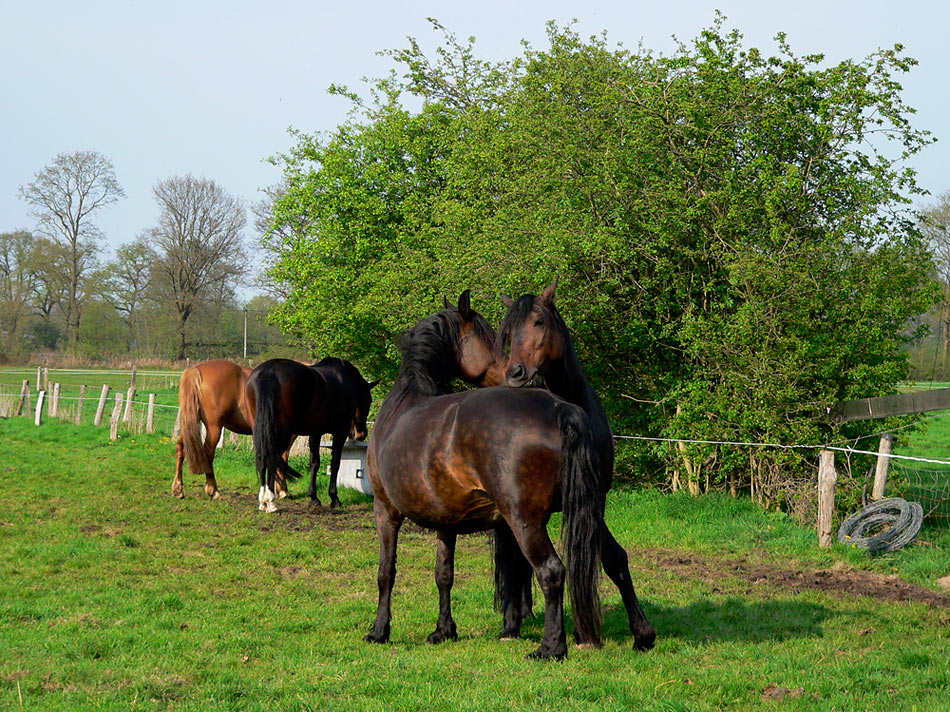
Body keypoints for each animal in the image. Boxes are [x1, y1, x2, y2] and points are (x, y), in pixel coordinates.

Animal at [245, 356, 376, 512]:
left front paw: (314, 498)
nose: (362, 434)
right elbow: (335, 464)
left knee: (262, 458)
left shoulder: (315, 432)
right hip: (281, 434)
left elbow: (314, 463)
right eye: (369, 401)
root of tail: (268, 371)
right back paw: (270, 502)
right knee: (271, 460)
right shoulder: (340, 432)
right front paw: (334, 499)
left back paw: (263, 502)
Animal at [360, 290, 608, 660]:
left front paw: (379, 631)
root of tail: (559, 407)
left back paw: (550, 647)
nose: (513, 372)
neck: (405, 400)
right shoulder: (446, 522)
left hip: (524, 520)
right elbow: (444, 574)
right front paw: (444, 630)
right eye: (493, 338)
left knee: (551, 572)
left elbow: (385, 572)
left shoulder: (385, 510)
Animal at [494, 278, 660, 652]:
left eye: (538, 322)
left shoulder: (594, 500)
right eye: (508, 333)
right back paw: (511, 623)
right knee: (514, 560)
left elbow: (613, 559)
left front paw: (639, 633)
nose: (515, 373)